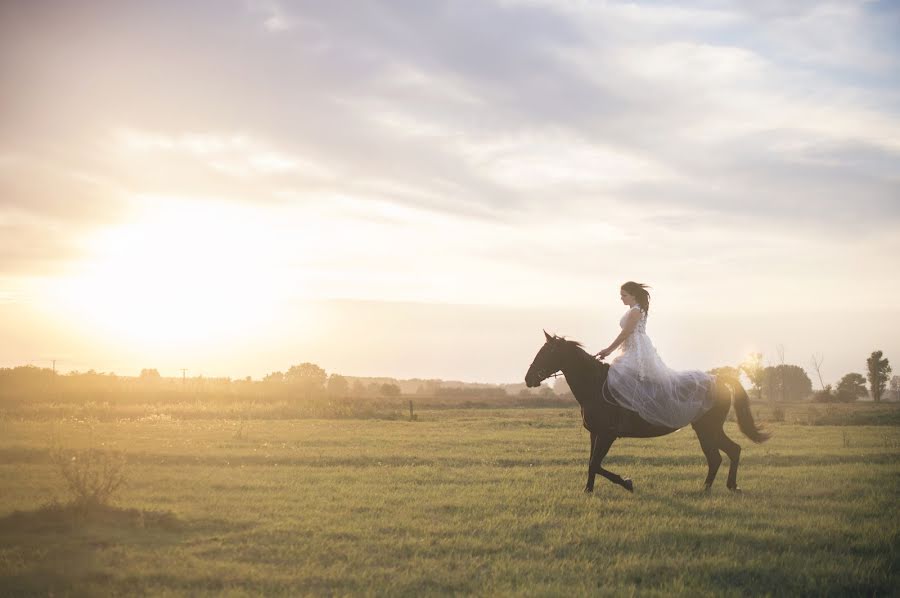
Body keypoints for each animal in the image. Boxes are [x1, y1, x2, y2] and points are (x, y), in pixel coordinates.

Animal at [524, 330, 768, 494]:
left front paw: (627, 483)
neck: (595, 385)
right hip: (708, 429)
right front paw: (588, 490)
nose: (528, 378)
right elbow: (592, 464)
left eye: (547, 352)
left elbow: (596, 464)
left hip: (707, 428)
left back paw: (713, 488)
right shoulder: (595, 433)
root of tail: (718, 379)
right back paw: (723, 487)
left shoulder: (608, 434)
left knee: (721, 455)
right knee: (727, 453)